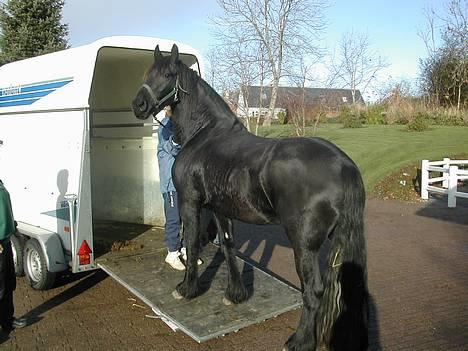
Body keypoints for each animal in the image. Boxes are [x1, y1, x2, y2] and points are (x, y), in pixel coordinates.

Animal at [133, 44, 370, 351]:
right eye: (147, 73)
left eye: (168, 74)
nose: (138, 105)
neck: (205, 134)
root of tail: (344, 165)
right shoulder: (220, 208)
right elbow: (228, 245)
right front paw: (235, 294)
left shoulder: (190, 202)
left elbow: (193, 243)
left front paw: (187, 289)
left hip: (304, 245)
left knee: (313, 290)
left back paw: (300, 341)